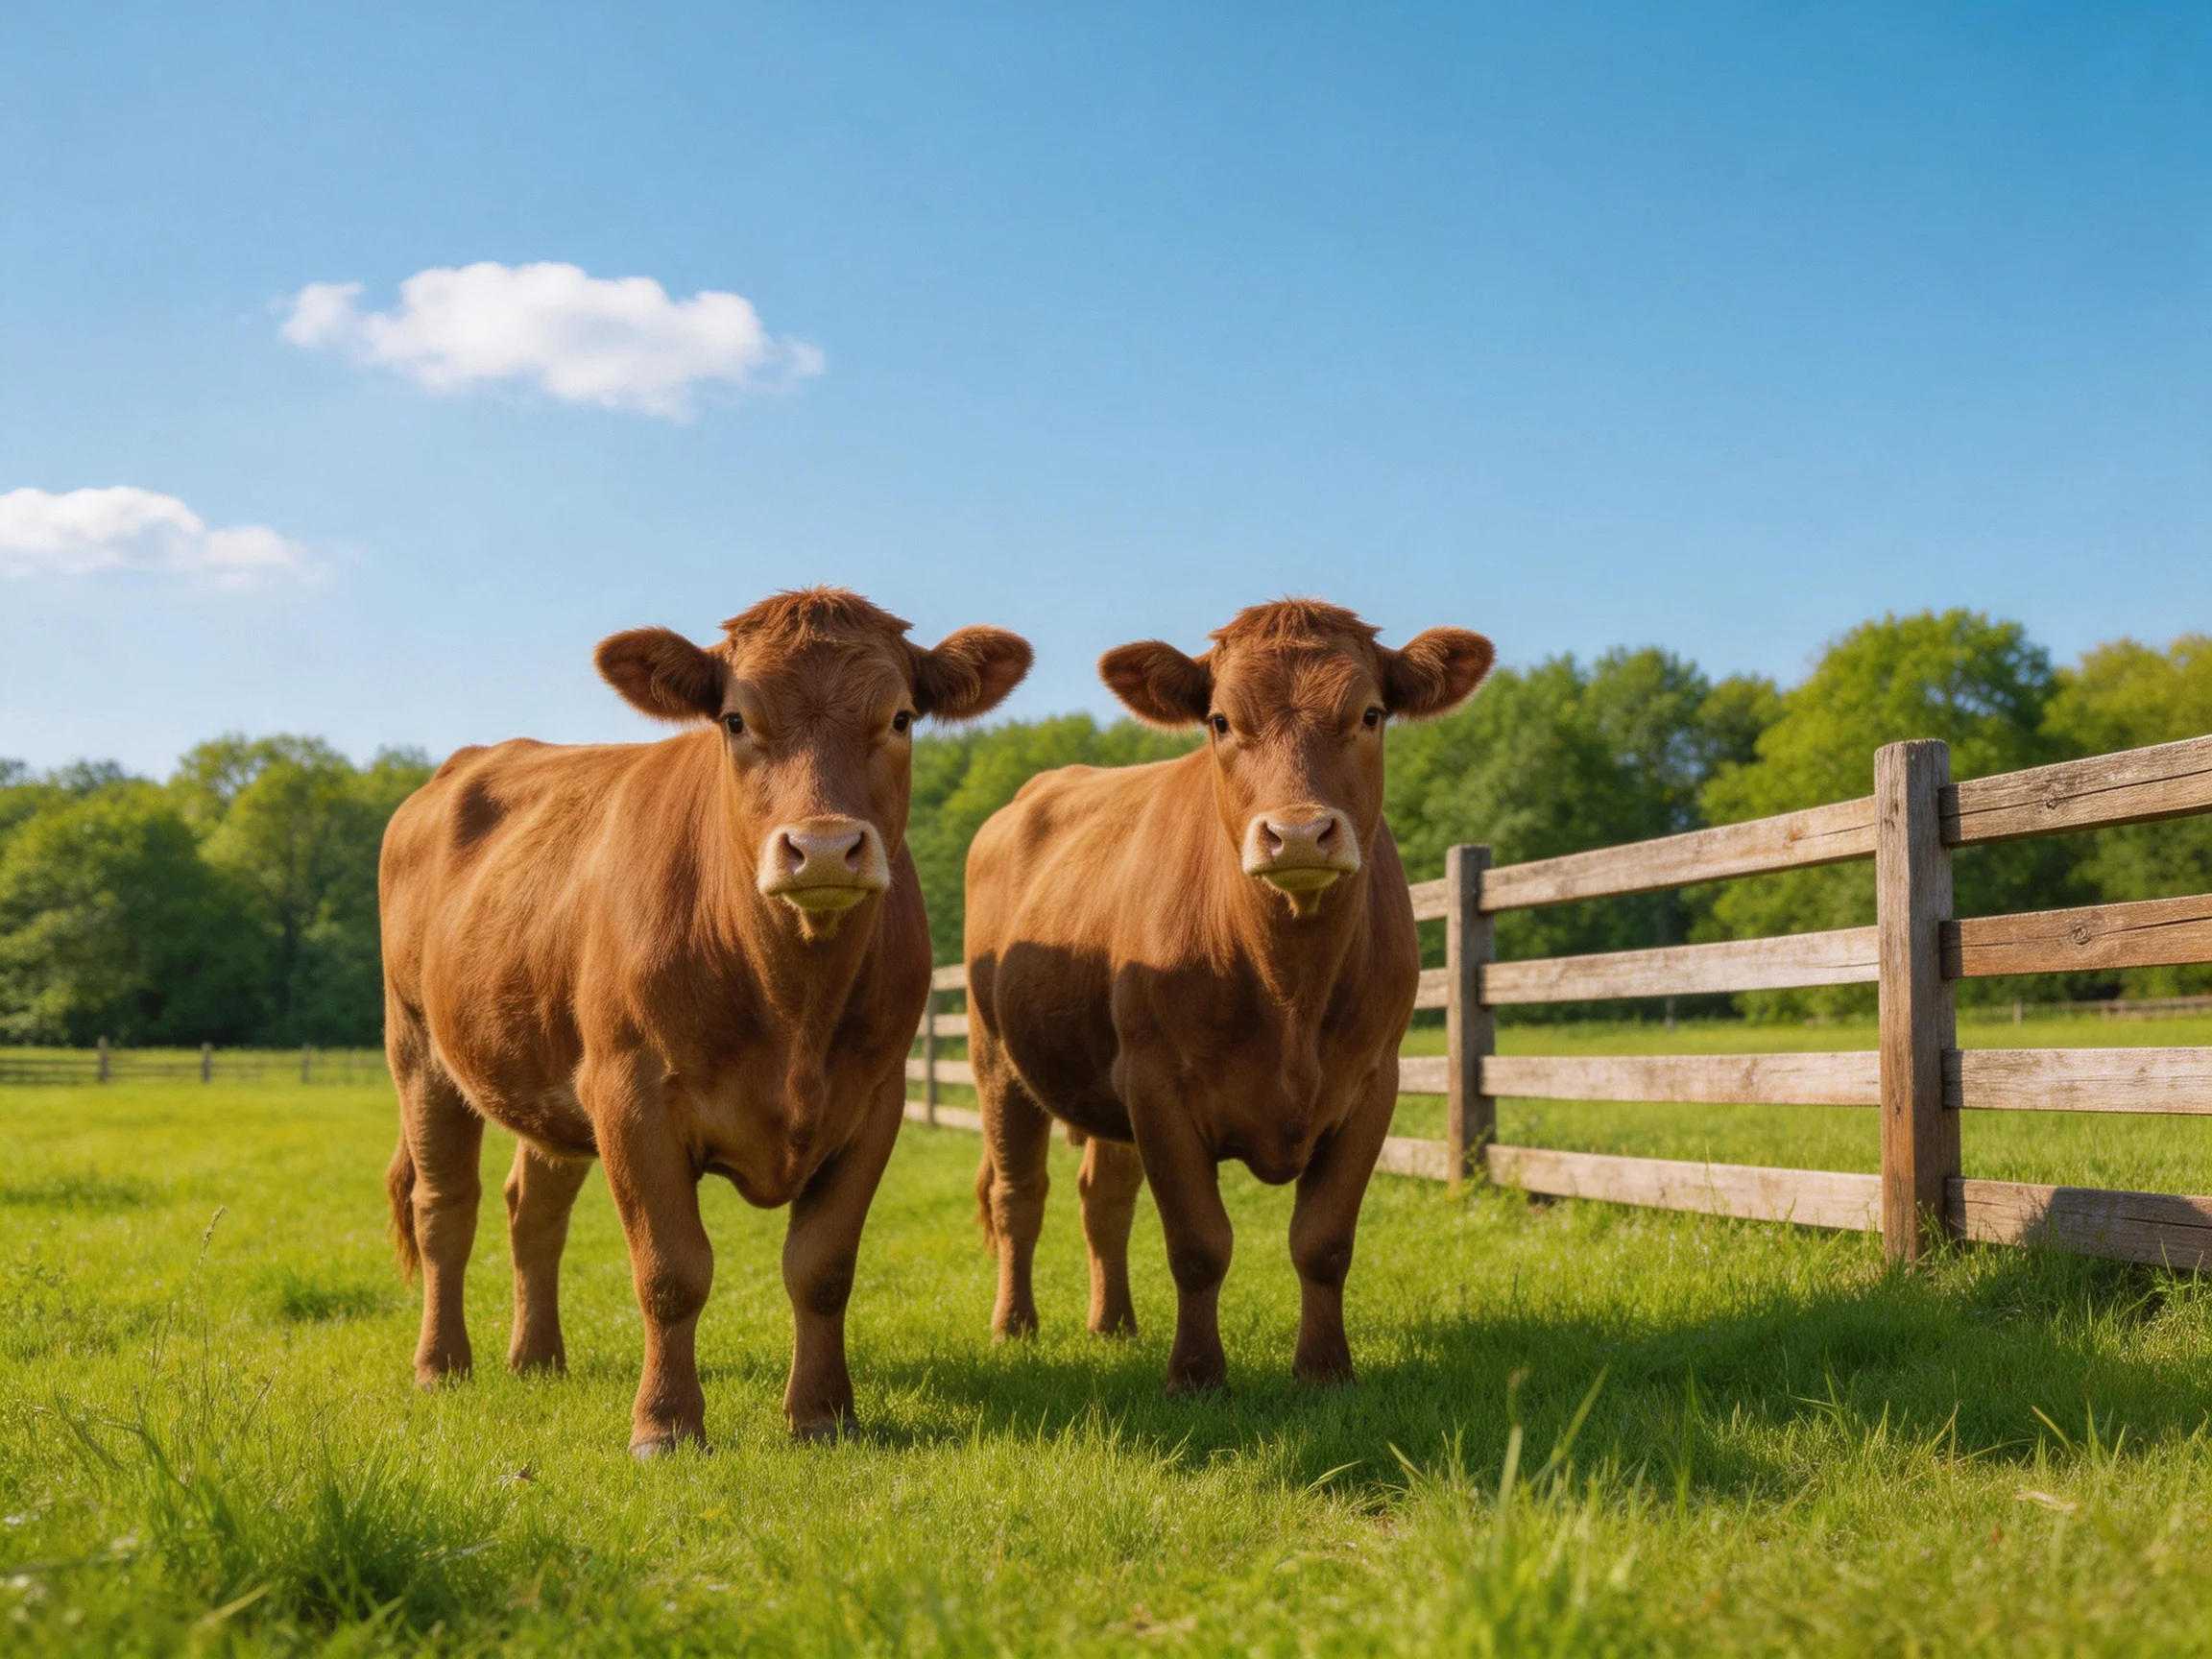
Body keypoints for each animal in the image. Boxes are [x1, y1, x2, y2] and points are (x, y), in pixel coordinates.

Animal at [379, 588, 1031, 1454]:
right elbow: (671, 1270)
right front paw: (664, 1423)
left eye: (900, 717)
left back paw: (538, 1359)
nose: (825, 848)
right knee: (444, 1209)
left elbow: (822, 1268)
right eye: (733, 719)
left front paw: (823, 1413)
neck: (793, 1003)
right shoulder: (631, 1094)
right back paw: (442, 1364)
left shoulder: (874, 1100)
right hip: (418, 1048)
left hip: (547, 1077)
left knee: (533, 1211)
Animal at [963, 600, 1491, 1393]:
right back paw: (1013, 1326)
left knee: (1103, 1198)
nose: (1298, 833)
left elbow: (1323, 1242)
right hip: (997, 1058)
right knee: (1018, 1196)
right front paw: (1195, 1376)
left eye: (1370, 714)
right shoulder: (1158, 1085)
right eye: (1219, 720)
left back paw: (1113, 1324)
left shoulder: (1374, 1080)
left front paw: (1324, 1370)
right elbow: (1198, 1245)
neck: (1289, 988)